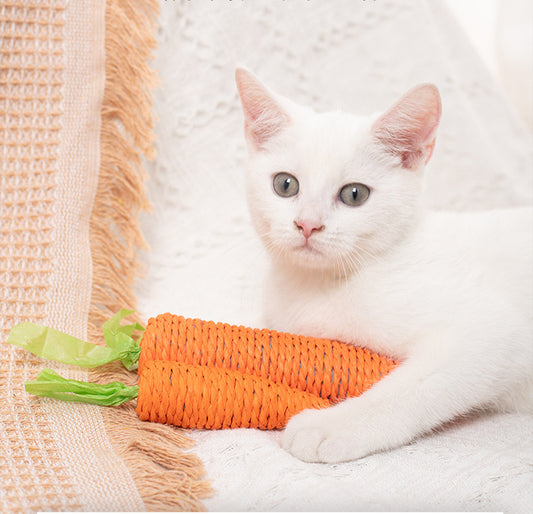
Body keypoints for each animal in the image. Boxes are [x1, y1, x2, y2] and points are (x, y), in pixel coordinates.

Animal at [236, 66, 532, 462]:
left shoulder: (495, 332)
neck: (320, 286)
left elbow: (416, 386)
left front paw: (332, 425)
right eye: (285, 185)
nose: (307, 224)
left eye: (354, 194)